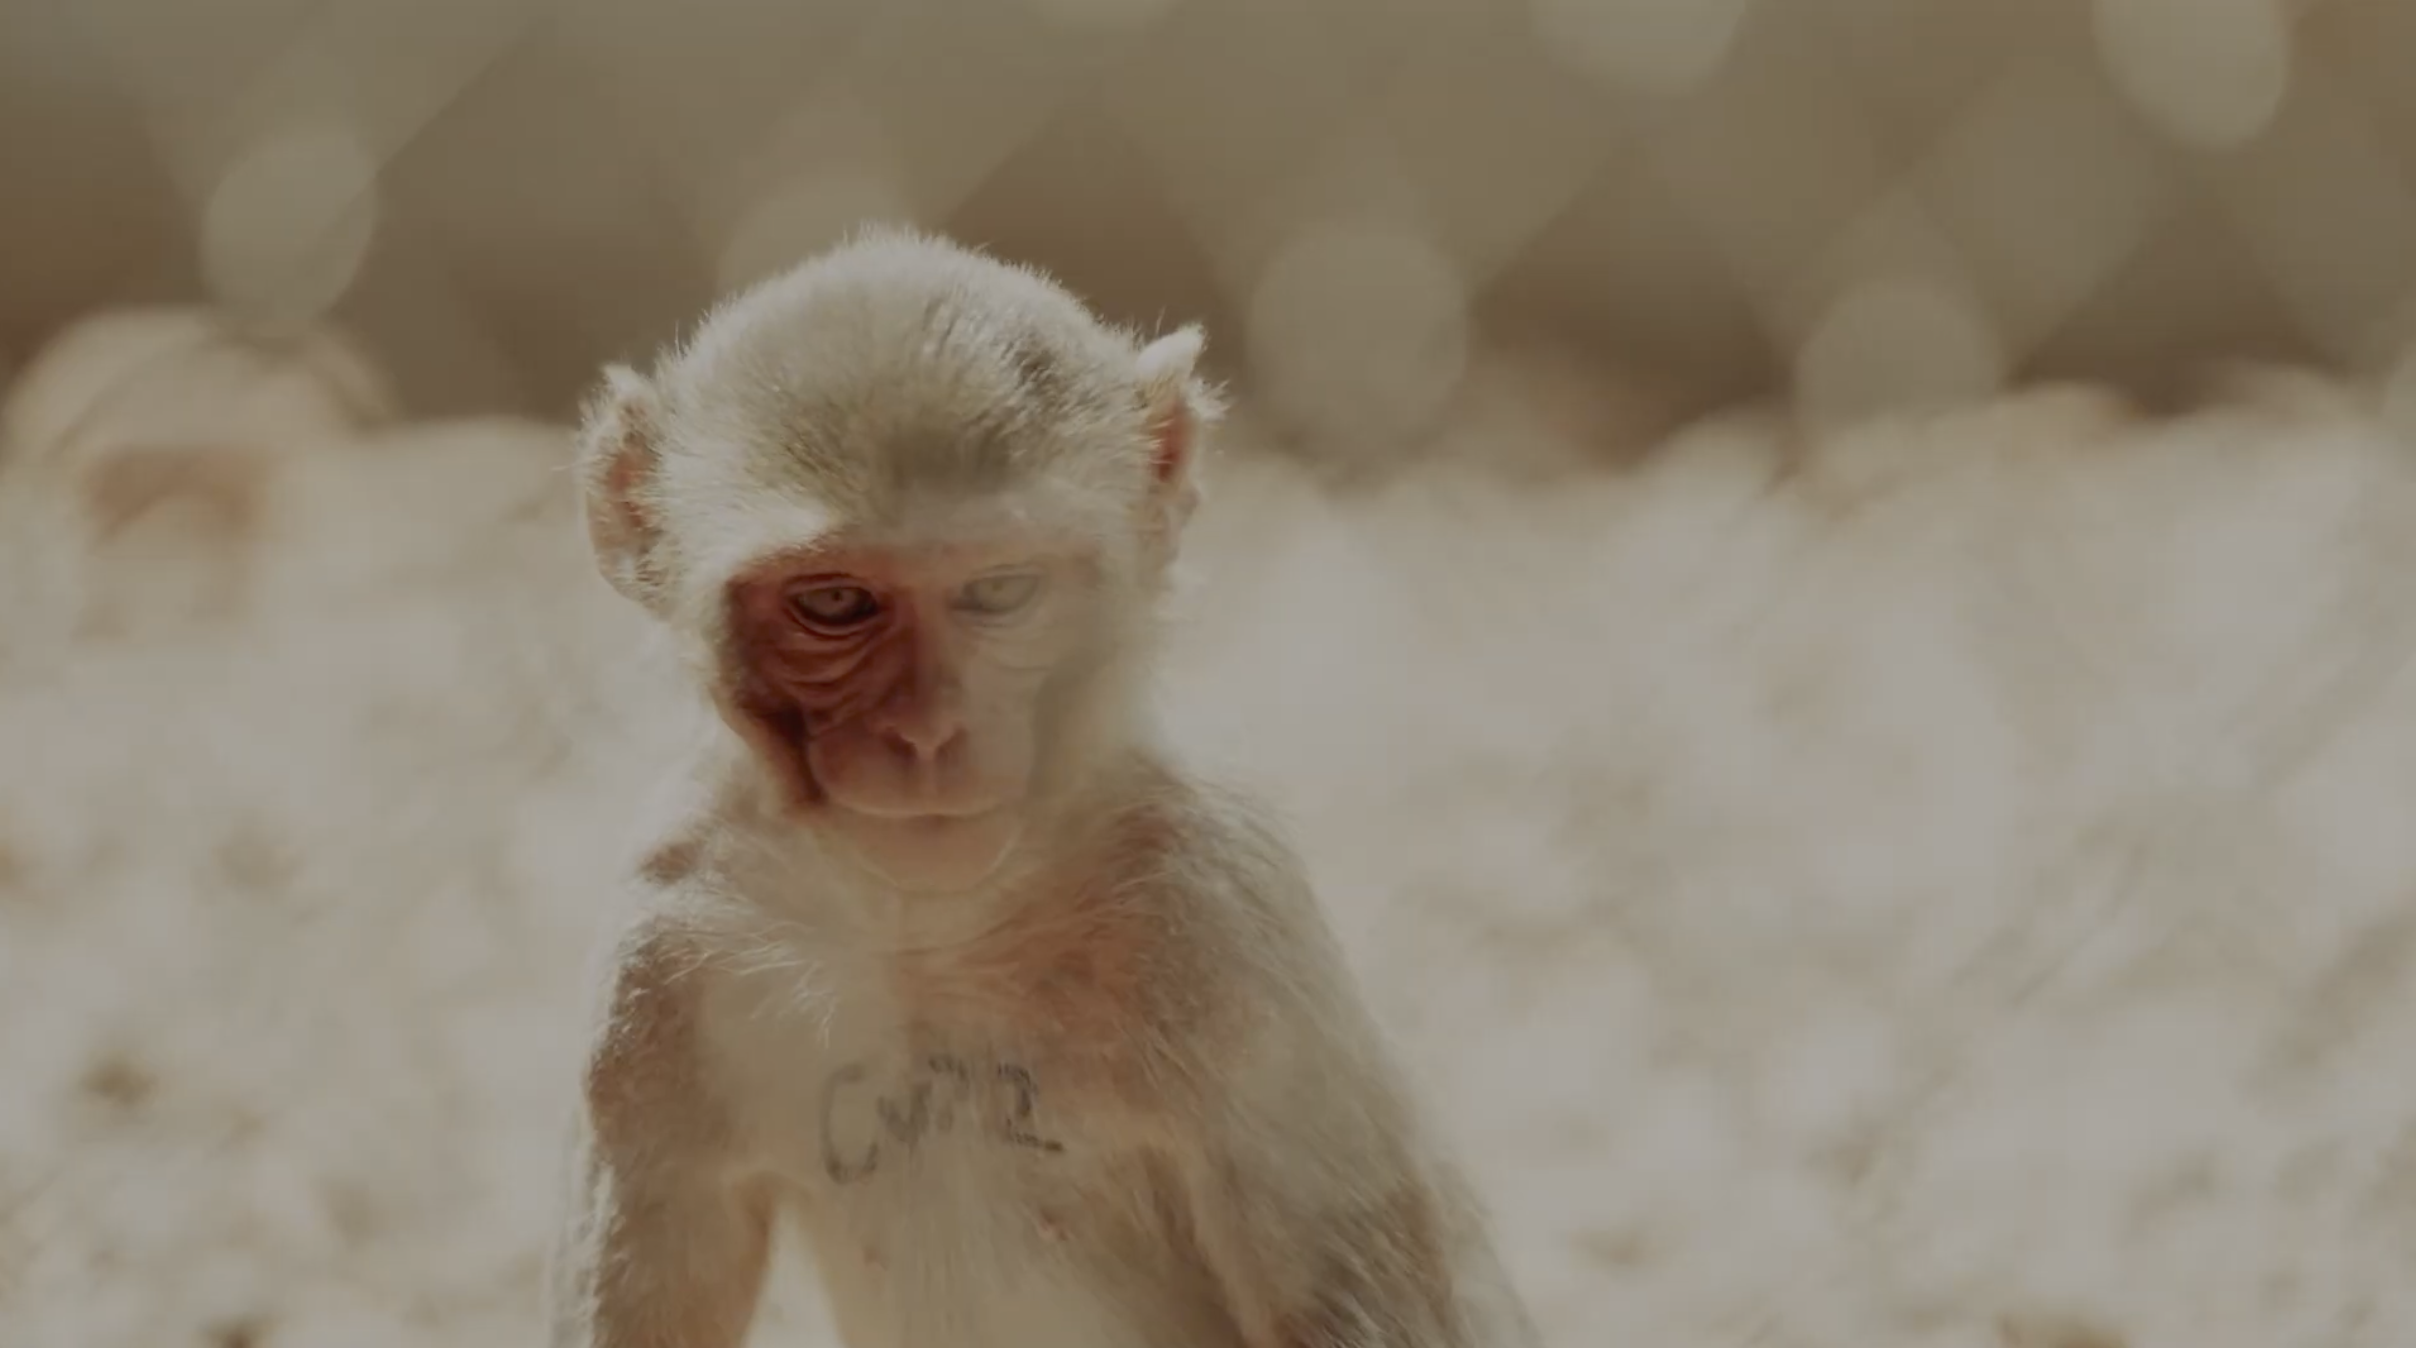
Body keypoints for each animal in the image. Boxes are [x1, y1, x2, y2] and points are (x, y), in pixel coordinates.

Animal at [544, 228, 1543, 1348]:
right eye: (835, 602)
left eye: (1002, 591)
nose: (929, 732)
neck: (919, 930)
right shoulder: (663, 936)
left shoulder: (1223, 915)